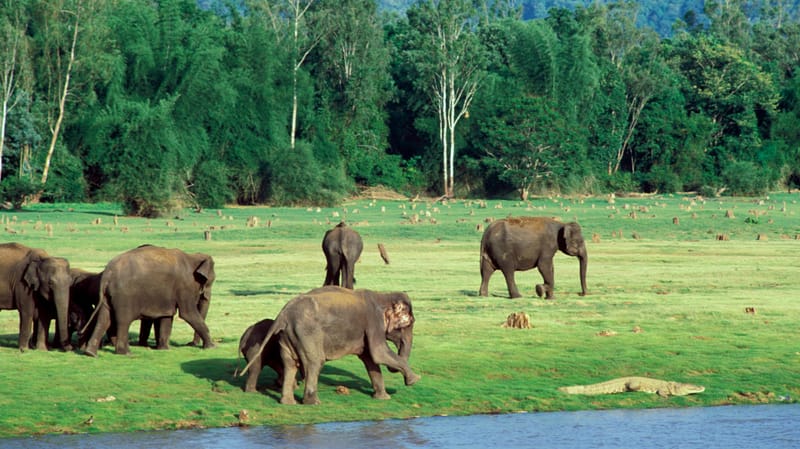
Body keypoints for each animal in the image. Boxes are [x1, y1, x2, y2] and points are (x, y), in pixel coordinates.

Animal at [83, 245, 216, 357]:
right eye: (210, 281)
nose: (190, 344)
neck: (192, 257)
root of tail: (107, 273)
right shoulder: (185, 286)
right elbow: (188, 313)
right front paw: (212, 347)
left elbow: (167, 316)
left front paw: (164, 349)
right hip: (124, 295)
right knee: (123, 321)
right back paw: (126, 353)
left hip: (107, 295)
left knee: (104, 319)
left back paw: (91, 353)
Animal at [240, 286, 420, 405]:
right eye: (409, 323)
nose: (408, 380)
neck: (382, 295)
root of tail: (282, 315)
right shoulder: (373, 323)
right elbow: (379, 353)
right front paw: (415, 380)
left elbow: (371, 360)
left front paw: (383, 398)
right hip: (307, 334)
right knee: (314, 362)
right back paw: (313, 402)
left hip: (287, 336)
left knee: (290, 364)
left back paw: (288, 402)